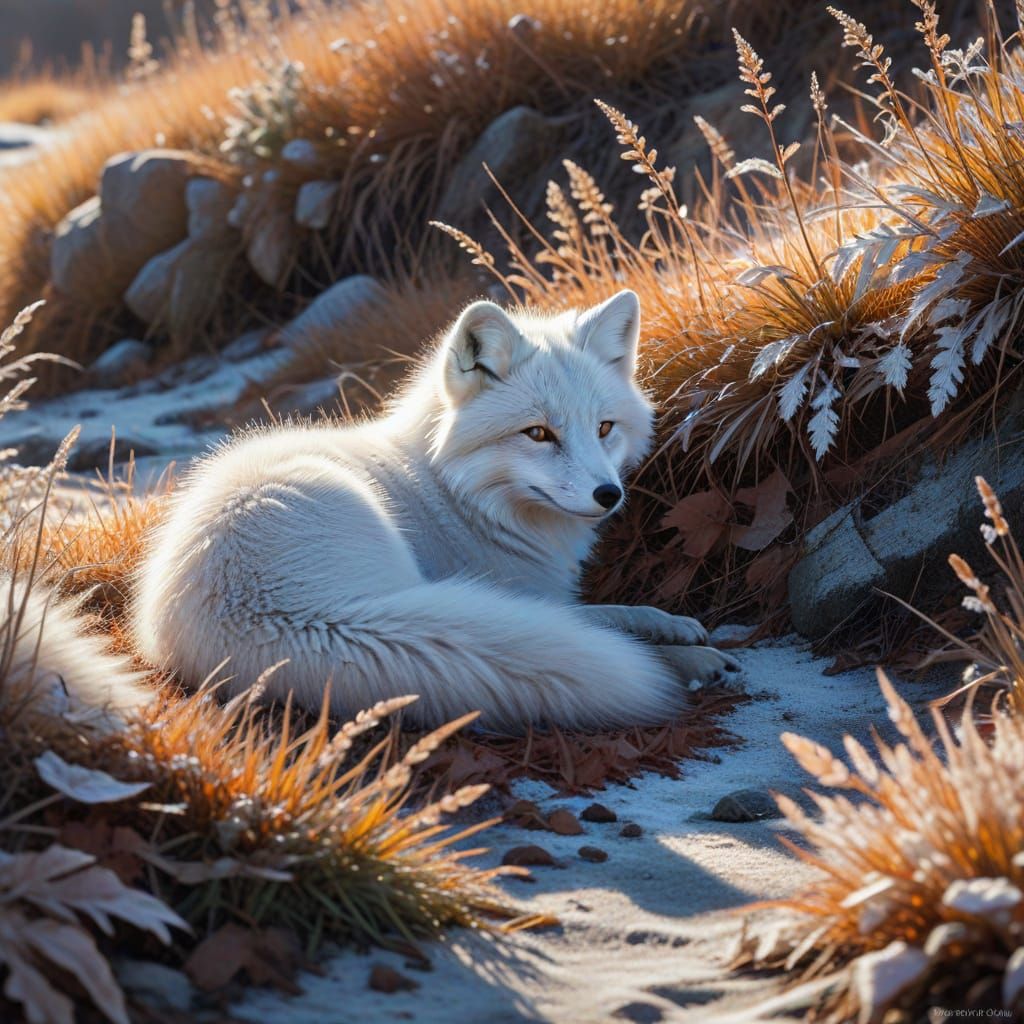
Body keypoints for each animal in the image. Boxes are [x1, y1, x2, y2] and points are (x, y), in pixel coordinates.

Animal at [130, 290, 741, 731]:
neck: (458, 494)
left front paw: (673, 625)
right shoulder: (526, 592)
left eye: (605, 428)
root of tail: (270, 613)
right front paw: (683, 651)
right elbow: (603, 619)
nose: (608, 495)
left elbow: (619, 612)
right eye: (538, 433)